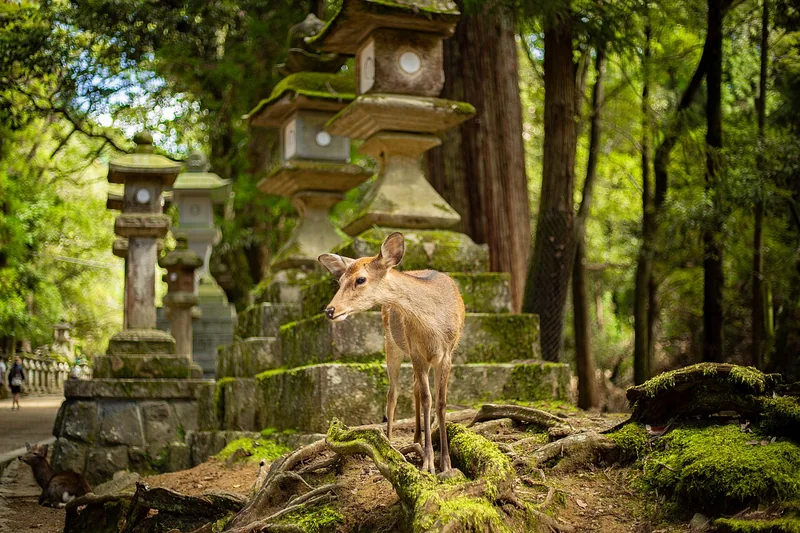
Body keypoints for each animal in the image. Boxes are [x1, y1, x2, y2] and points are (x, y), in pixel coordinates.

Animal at [318, 232, 465, 476]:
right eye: (339, 281)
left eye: (360, 279)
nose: (330, 310)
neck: (433, 326)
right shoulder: (416, 352)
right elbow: (427, 399)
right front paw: (428, 463)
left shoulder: (447, 354)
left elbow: (441, 402)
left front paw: (446, 463)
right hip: (391, 345)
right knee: (393, 393)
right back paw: (389, 443)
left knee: (413, 388)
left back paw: (416, 438)